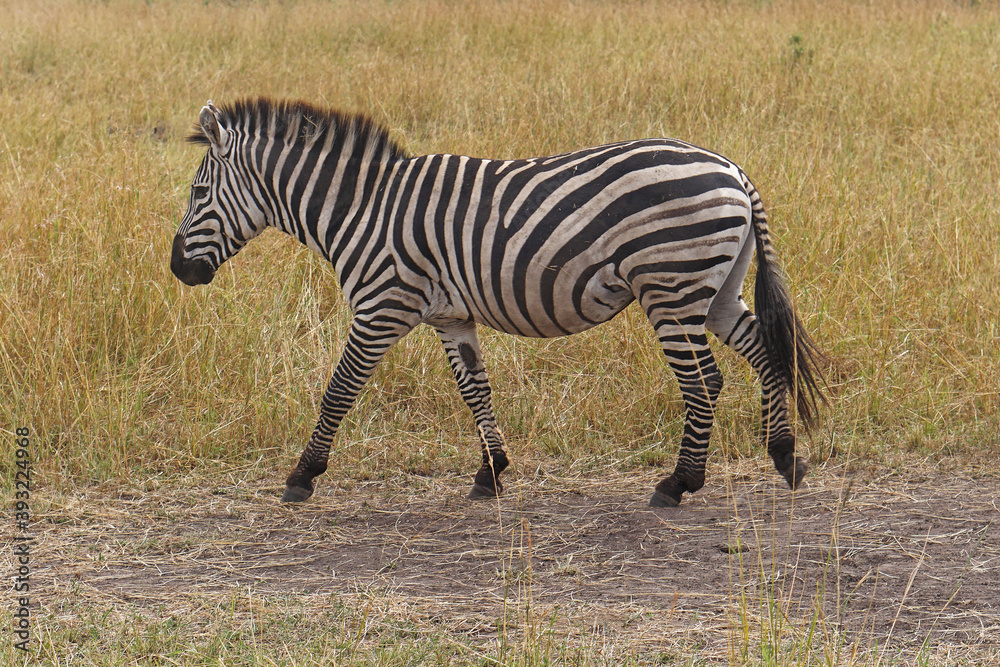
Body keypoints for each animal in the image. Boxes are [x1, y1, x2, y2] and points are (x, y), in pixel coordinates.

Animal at [171, 98, 824, 508]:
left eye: (198, 193)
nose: (178, 269)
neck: (362, 208)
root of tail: (734, 171)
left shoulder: (382, 307)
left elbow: (339, 389)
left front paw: (303, 475)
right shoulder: (450, 315)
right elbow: (475, 390)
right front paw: (491, 472)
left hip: (671, 286)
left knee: (703, 381)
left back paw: (678, 484)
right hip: (715, 288)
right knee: (764, 351)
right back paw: (785, 456)